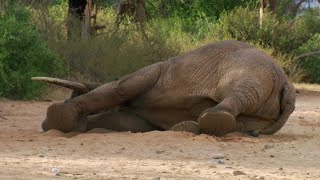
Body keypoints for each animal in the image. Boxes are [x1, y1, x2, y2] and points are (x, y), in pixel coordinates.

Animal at [32, 40, 296, 136]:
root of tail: (287, 85)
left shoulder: (156, 72)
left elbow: (122, 88)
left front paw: (58, 118)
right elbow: (125, 122)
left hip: (253, 71)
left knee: (241, 93)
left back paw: (211, 118)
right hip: (260, 112)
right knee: (241, 121)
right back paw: (191, 127)